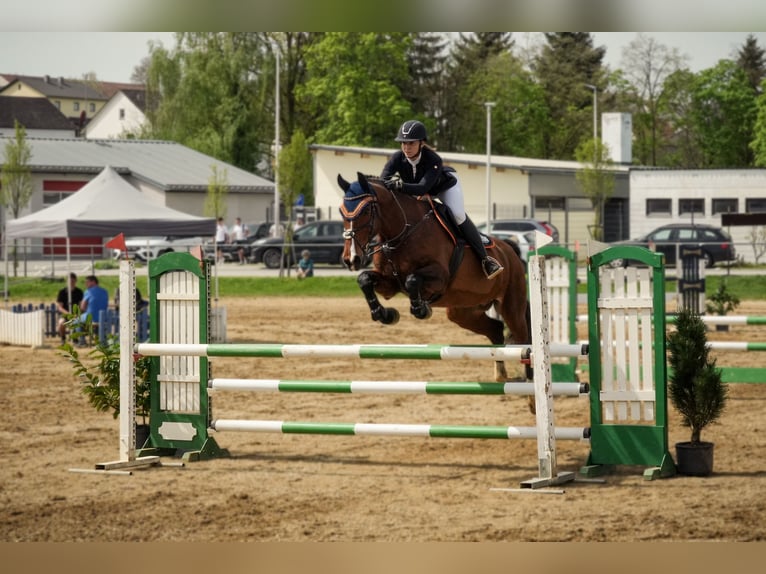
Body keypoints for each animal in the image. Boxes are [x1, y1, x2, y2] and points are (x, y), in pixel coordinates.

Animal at [338, 172, 531, 383]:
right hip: (463, 310)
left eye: (365, 210)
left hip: (511, 306)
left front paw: (421, 309)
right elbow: (364, 279)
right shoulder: (389, 284)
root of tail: (509, 249)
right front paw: (385, 314)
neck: (402, 233)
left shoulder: (440, 278)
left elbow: (412, 280)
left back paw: (530, 381)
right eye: (341, 212)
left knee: (524, 340)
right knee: (495, 329)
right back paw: (501, 375)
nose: (351, 259)